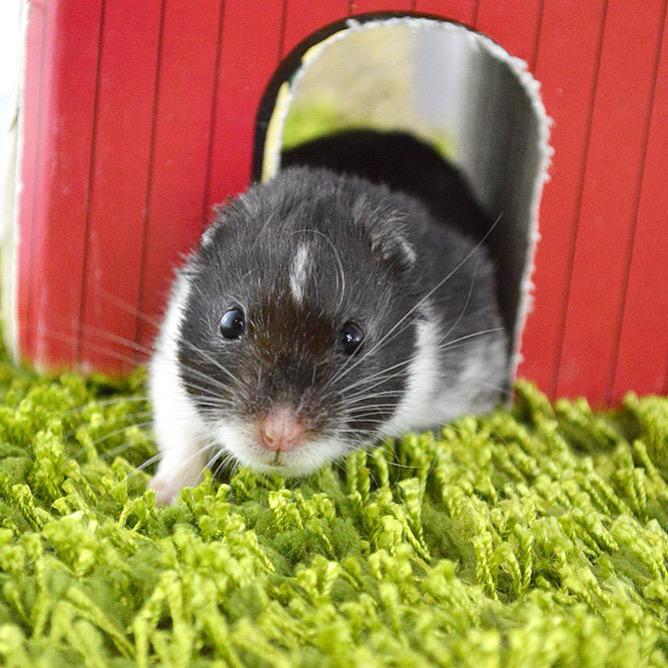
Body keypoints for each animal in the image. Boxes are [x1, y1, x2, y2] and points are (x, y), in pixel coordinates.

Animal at [148, 166, 508, 504]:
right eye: (230, 322)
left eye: (353, 338)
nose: (278, 436)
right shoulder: (167, 372)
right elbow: (181, 435)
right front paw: (163, 497)